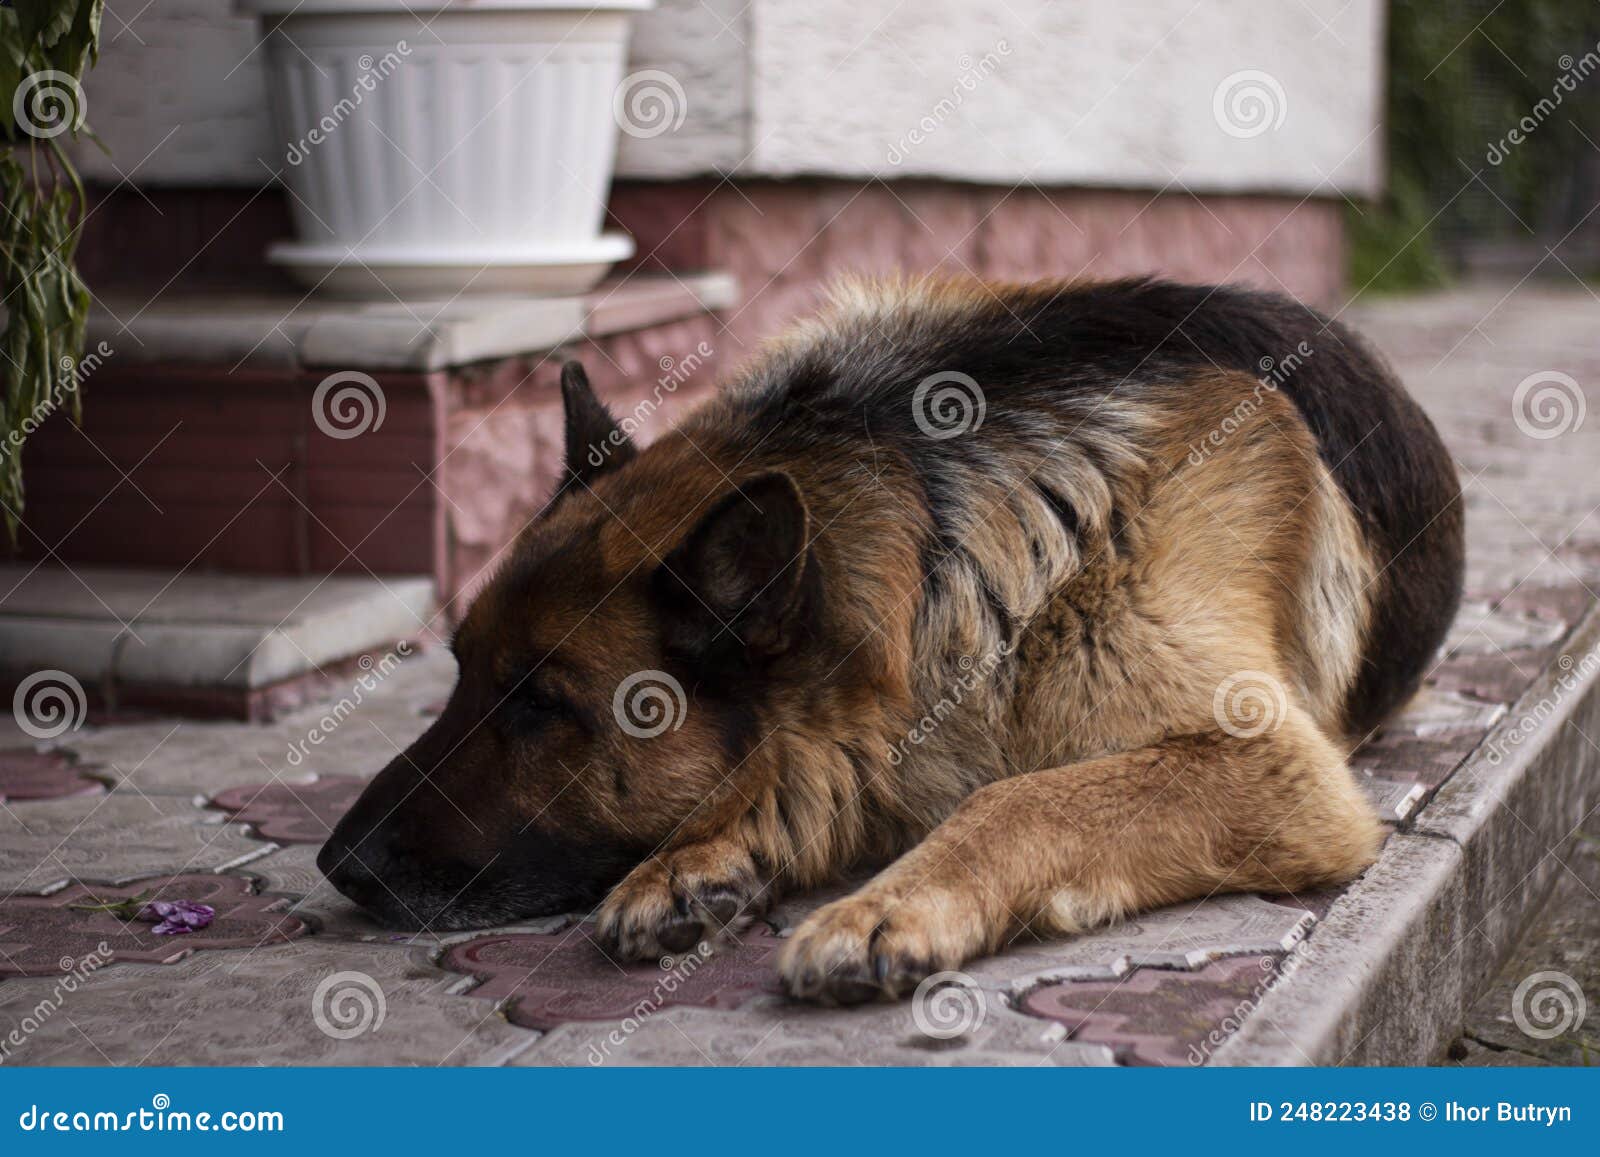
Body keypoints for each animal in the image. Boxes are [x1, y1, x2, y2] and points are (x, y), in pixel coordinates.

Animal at [321, 278, 1465, 1004]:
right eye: (462, 673)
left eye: (539, 705)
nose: (338, 862)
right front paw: (704, 856)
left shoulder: (1266, 760)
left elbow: (1018, 795)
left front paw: (889, 905)